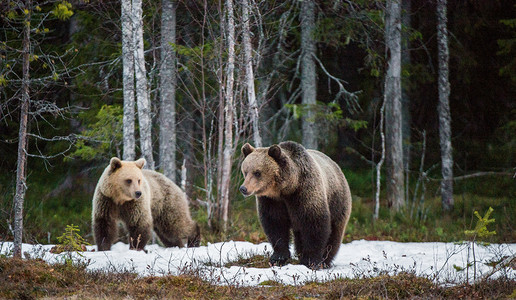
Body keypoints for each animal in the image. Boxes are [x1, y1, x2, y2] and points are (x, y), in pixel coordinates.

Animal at [240, 141, 352, 270]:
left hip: (337, 200)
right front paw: (278, 258)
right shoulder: (271, 201)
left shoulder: (305, 192)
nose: (243, 188)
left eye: (257, 172)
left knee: (335, 232)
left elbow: (314, 224)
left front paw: (311, 261)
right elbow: (275, 224)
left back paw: (325, 260)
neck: (287, 188)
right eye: (245, 171)